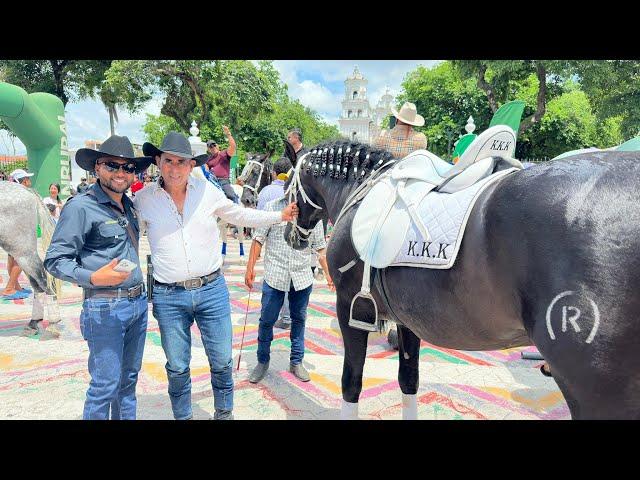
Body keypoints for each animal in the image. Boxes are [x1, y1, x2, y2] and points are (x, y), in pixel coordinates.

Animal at [284, 142, 640, 420]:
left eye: (287, 186)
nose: (291, 236)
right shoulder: (407, 320)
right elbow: (409, 380)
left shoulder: (350, 308)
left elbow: (351, 383)